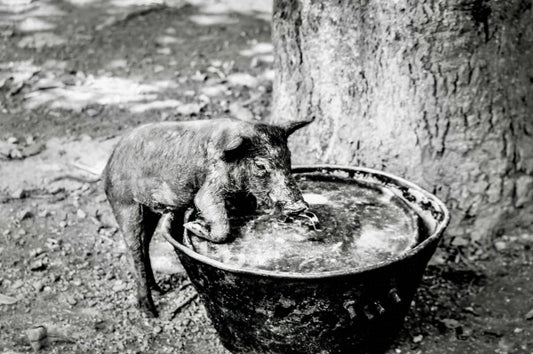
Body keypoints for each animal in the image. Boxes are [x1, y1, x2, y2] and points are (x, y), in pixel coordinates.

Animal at [102, 117, 314, 316]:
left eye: (289, 158)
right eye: (260, 165)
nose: (300, 206)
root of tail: (109, 164)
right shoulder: (209, 189)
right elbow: (217, 219)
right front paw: (193, 225)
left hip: (149, 211)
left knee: (144, 246)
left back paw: (159, 290)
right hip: (125, 205)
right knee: (134, 252)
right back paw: (150, 312)